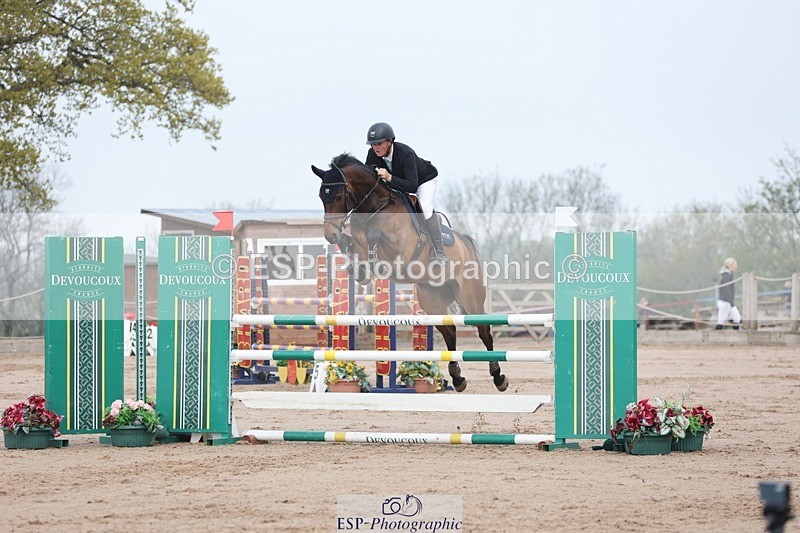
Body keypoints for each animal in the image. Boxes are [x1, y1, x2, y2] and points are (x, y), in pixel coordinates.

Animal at [311, 153, 508, 392]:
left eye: (339, 196)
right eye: (322, 197)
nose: (329, 235)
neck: (375, 207)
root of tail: (467, 244)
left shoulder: (399, 248)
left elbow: (375, 236)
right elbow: (351, 242)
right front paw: (356, 266)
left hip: (470, 298)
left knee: (483, 331)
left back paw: (498, 377)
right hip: (432, 301)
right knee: (450, 332)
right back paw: (457, 378)